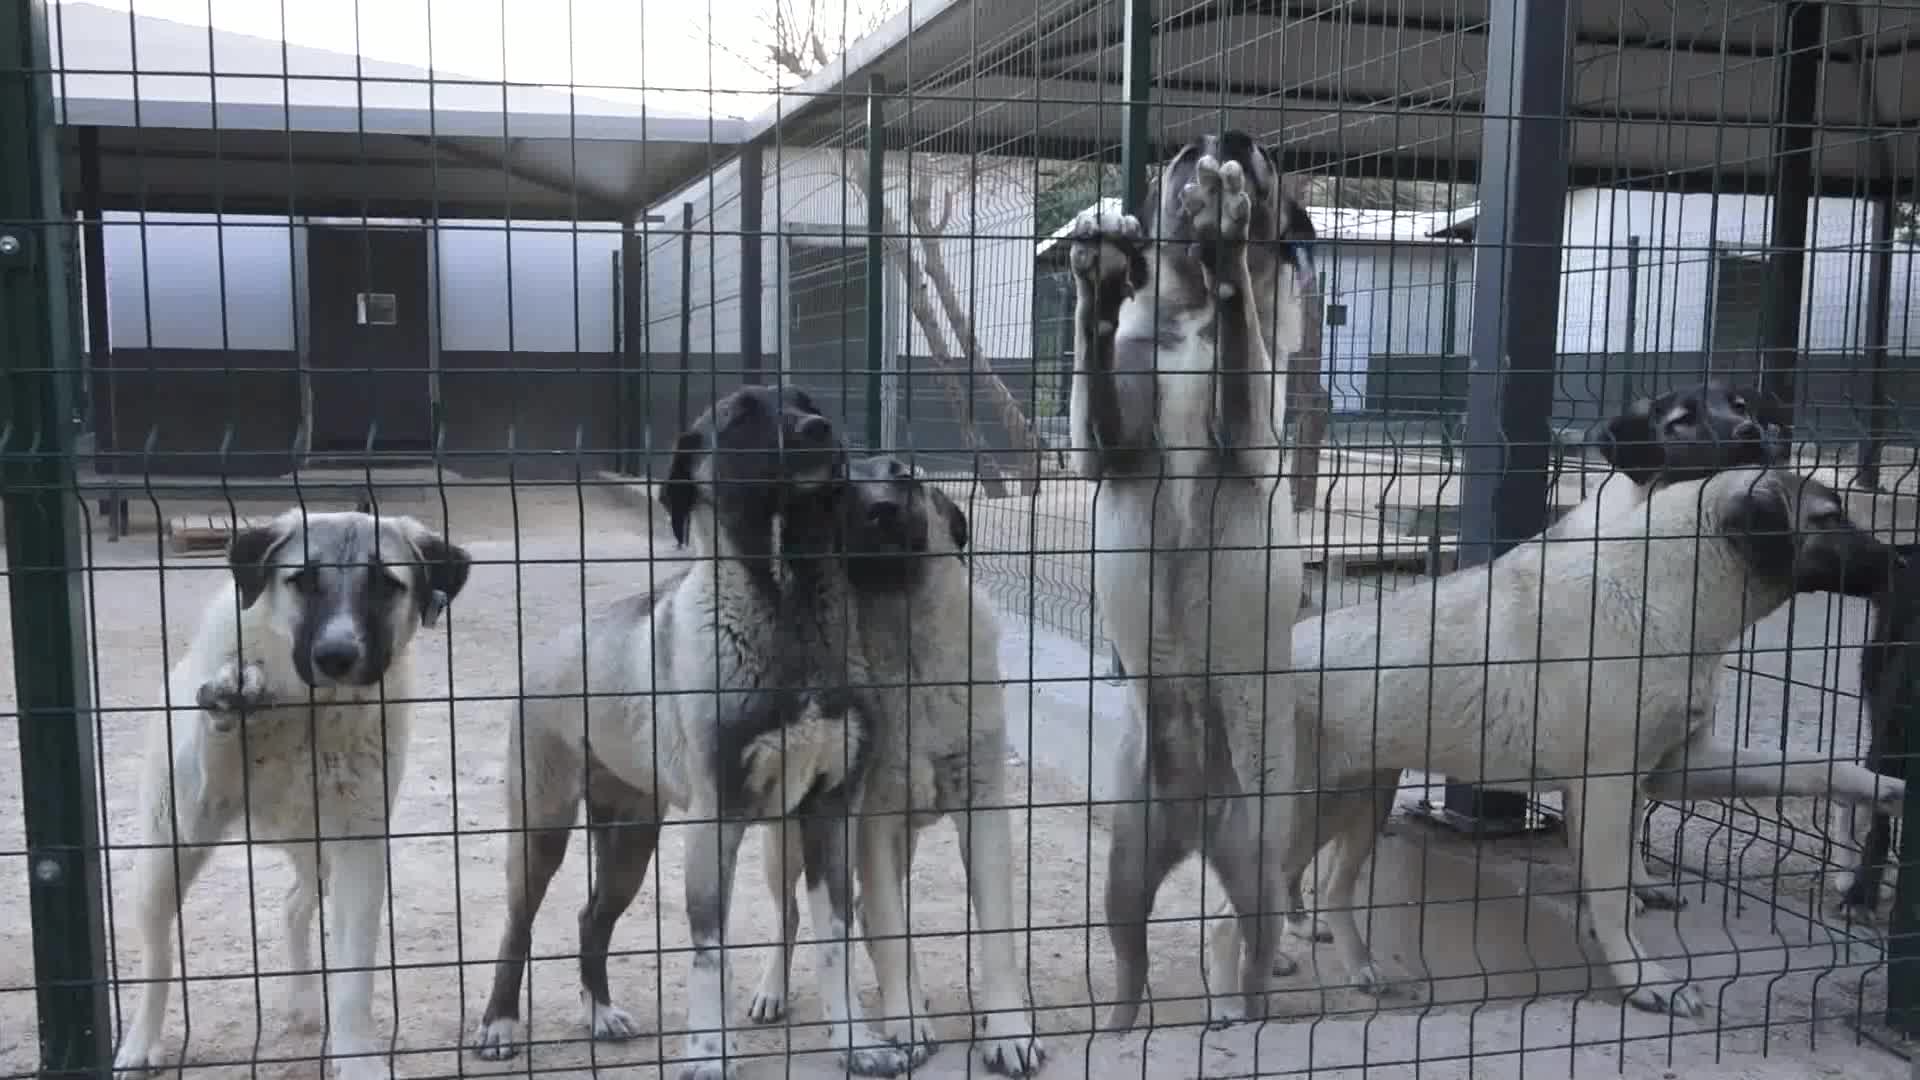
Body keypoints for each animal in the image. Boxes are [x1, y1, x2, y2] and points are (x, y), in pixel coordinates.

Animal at [112, 507, 472, 1076]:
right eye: (302, 580)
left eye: (384, 584)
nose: (337, 655)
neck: (308, 713)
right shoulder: (193, 810)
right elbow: (219, 729)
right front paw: (231, 696)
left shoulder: (359, 849)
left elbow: (354, 979)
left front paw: (357, 1057)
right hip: (160, 866)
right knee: (158, 956)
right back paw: (140, 1044)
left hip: (317, 853)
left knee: (293, 903)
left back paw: (303, 1001)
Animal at [476, 384, 902, 1076]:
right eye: (742, 415)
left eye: (806, 400)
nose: (819, 429)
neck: (786, 607)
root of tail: (552, 646)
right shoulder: (715, 822)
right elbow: (710, 951)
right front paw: (707, 1051)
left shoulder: (830, 811)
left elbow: (835, 940)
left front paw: (857, 1042)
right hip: (541, 825)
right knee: (519, 924)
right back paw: (500, 1022)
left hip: (631, 839)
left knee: (591, 918)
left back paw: (600, 1014)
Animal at [1067, 130, 1320, 1022]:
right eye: (1182, 156)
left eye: (1266, 166)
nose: (1227, 142)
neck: (1188, 321)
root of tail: (1197, 819)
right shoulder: (1105, 449)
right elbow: (1098, 357)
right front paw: (1098, 287)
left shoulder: (1246, 434)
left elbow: (1242, 331)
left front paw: (1231, 248)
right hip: (1122, 871)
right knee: (1129, 963)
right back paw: (1118, 1026)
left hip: (1260, 873)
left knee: (1254, 955)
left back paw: (1246, 1014)